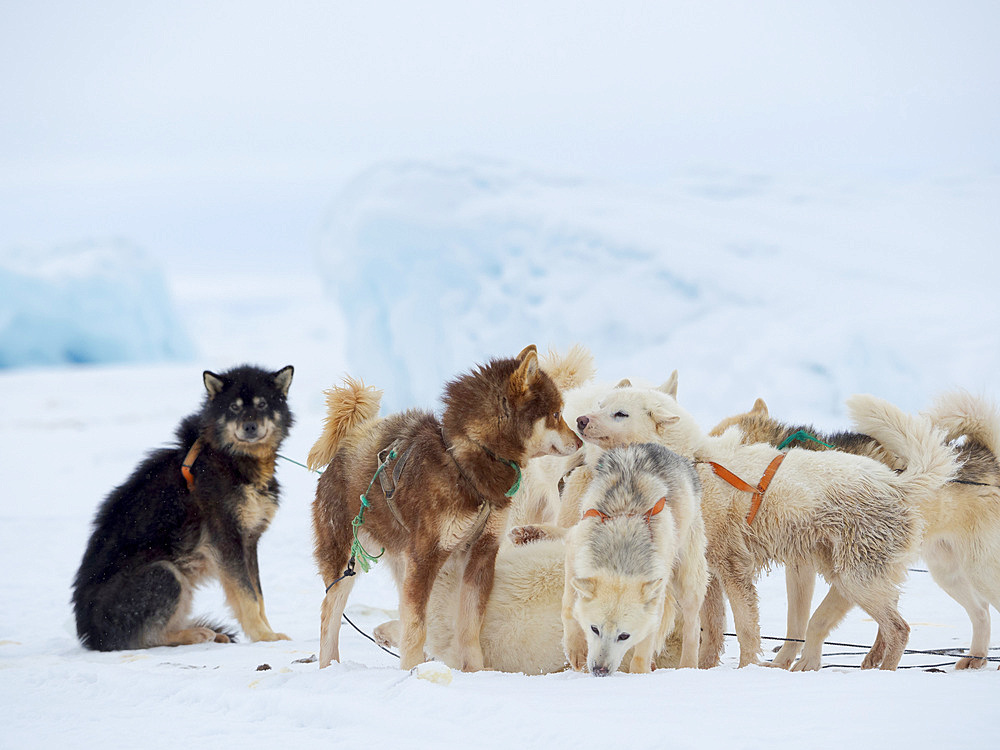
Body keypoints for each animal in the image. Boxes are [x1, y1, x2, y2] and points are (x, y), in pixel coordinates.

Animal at [73, 366, 292, 652]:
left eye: (262, 404)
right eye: (233, 407)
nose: (250, 426)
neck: (229, 458)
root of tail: (91, 635)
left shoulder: (248, 540)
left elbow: (258, 596)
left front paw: (268, 632)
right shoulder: (226, 540)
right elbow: (247, 597)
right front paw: (263, 636)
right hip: (165, 573)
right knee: (146, 638)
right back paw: (195, 634)